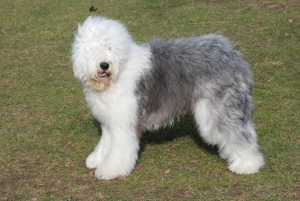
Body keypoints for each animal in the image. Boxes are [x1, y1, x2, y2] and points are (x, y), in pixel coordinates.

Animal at [71, 15, 264, 179]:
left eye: (109, 48)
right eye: (93, 49)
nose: (104, 65)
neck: (120, 71)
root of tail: (234, 56)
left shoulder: (125, 122)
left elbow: (118, 150)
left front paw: (109, 170)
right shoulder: (111, 120)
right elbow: (106, 143)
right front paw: (96, 160)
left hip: (216, 110)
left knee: (238, 135)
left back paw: (248, 164)